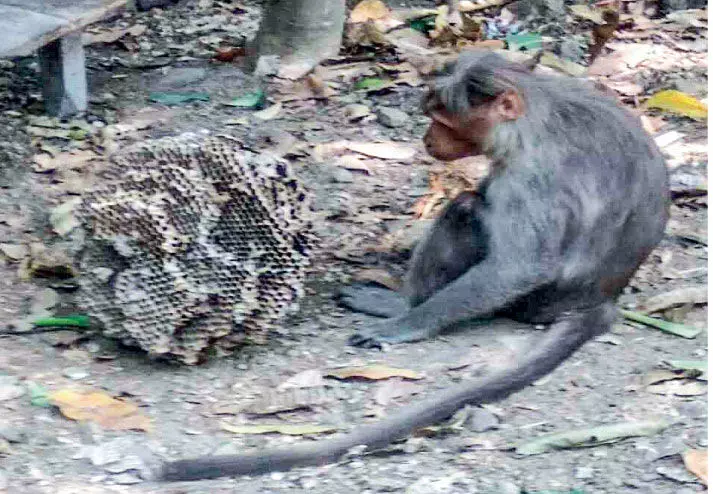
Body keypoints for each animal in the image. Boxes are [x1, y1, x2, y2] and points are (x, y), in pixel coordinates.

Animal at [158, 51, 669, 481]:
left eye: (442, 120)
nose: (427, 138)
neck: (534, 112)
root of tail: (601, 300)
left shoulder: (531, 174)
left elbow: (522, 264)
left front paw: (406, 322)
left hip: (532, 301)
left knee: (466, 208)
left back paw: (403, 304)